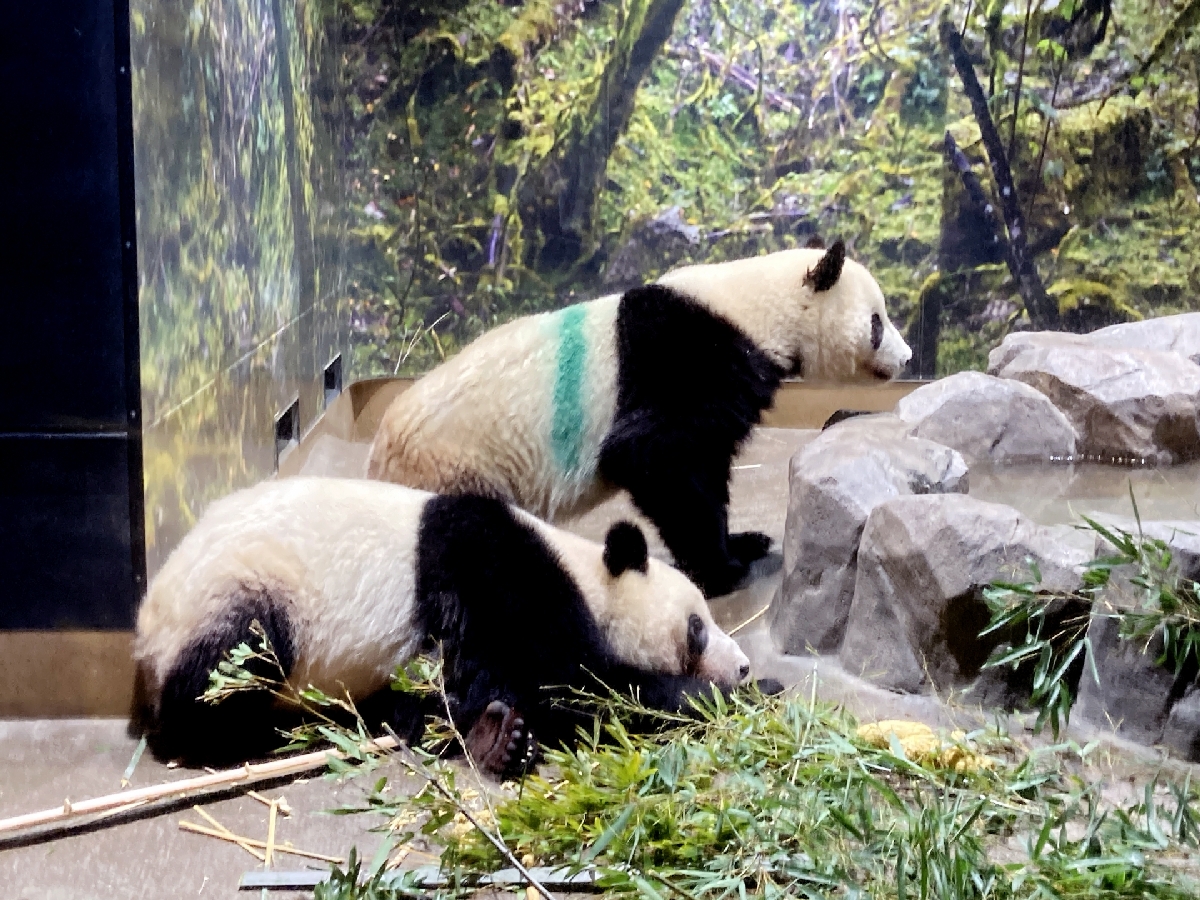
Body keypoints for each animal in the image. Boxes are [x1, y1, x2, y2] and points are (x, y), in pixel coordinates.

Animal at [131, 475, 748, 777]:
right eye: (697, 628)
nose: (741, 665)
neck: (584, 572)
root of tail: (142, 636)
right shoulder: (500, 573)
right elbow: (570, 681)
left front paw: (492, 734)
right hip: (246, 591)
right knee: (233, 668)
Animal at [364, 237, 907, 600]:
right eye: (877, 322)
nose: (906, 357)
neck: (756, 307)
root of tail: (377, 461)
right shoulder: (683, 355)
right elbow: (651, 455)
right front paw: (721, 568)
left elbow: (705, 466)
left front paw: (743, 541)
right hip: (460, 468)